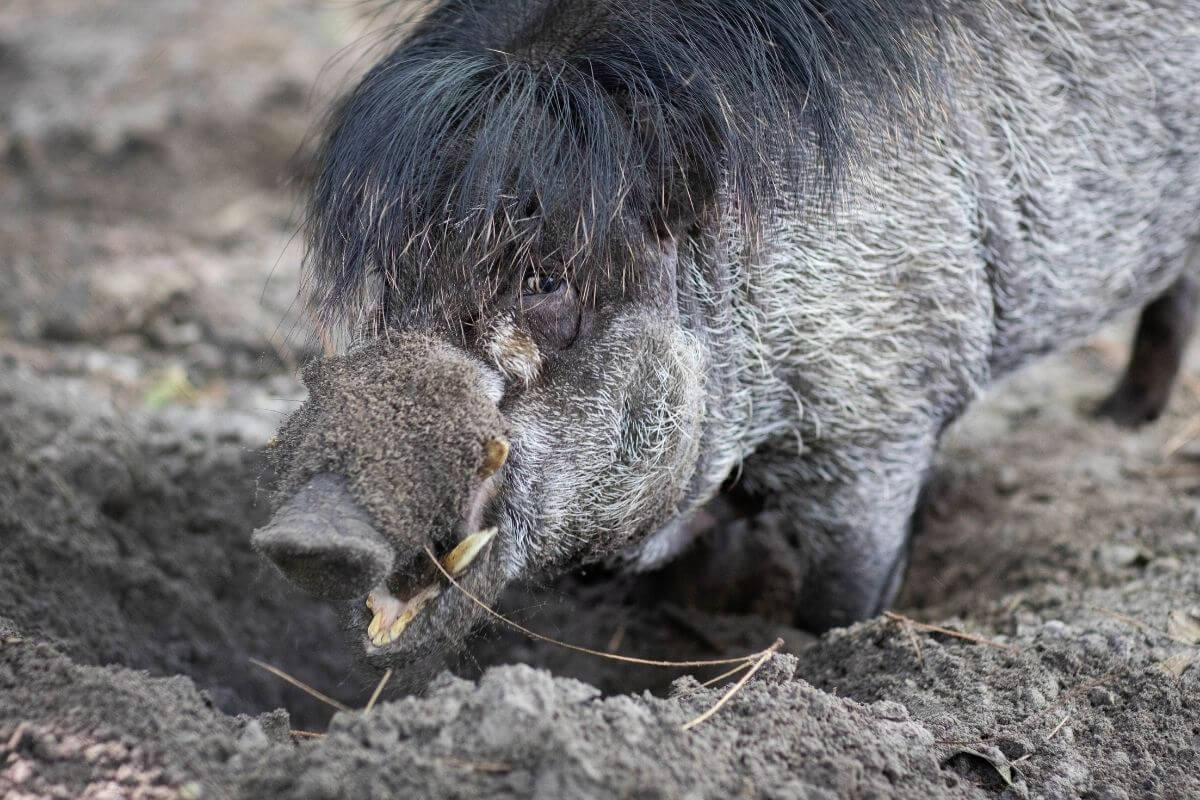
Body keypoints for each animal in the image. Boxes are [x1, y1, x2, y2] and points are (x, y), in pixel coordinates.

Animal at [253, 0, 1200, 673]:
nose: (304, 535)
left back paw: (1117, 423)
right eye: (395, 282)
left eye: (544, 278)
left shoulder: (880, 423)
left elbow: (840, 600)